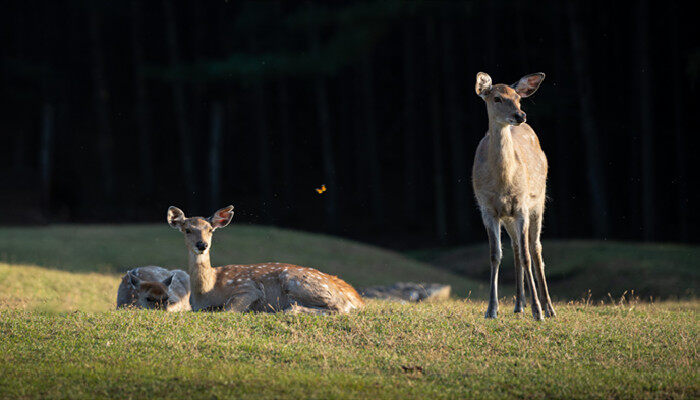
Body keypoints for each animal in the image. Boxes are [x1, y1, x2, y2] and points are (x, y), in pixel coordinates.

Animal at [166, 205, 364, 314]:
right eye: (187, 230)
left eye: (210, 230)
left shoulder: (248, 288)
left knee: (339, 307)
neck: (207, 290)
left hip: (295, 280)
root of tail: (357, 300)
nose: (202, 245)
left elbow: (229, 309)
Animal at [474, 72, 556, 322]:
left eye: (518, 98)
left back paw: (548, 308)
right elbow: (495, 255)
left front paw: (538, 311)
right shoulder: (488, 209)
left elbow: (528, 256)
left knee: (535, 248)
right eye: (497, 98)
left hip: (538, 202)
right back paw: (519, 304)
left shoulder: (521, 206)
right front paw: (491, 309)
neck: (503, 183)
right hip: (508, 217)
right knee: (517, 249)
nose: (520, 115)